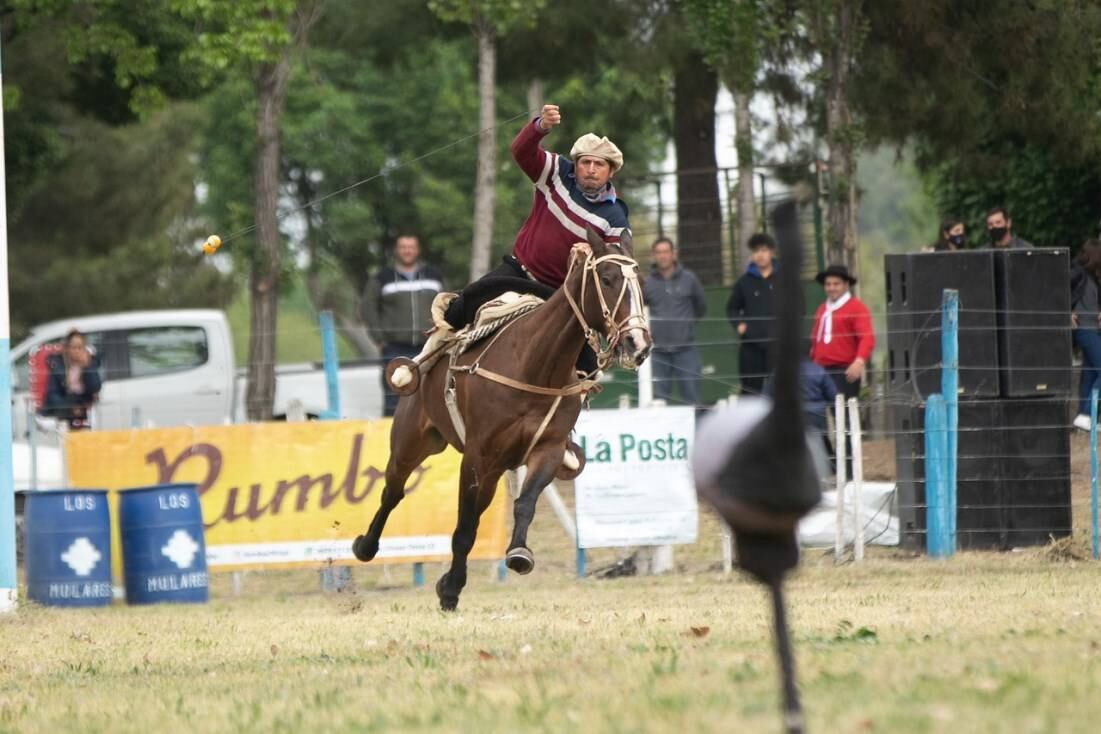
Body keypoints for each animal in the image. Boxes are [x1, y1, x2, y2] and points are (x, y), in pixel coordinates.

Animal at [352, 226, 647, 611]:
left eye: (639, 282)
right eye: (608, 278)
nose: (637, 342)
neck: (535, 365)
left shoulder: (547, 450)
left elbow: (524, 504)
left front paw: (518, 554)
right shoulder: (477, 456)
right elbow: (463, 530)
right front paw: (451, 590)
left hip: (491, 469)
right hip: (411, 441)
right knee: (393, 491)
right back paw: (365, 545)